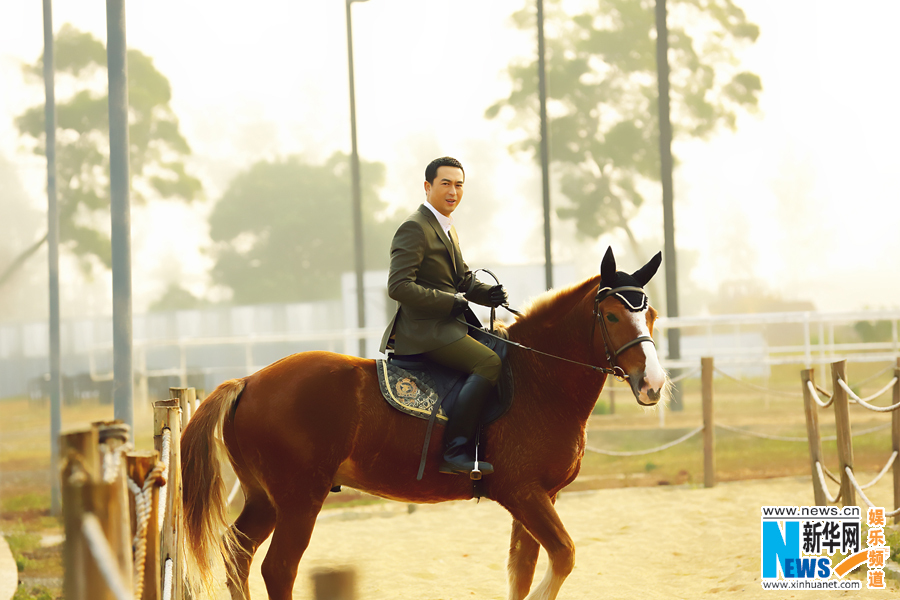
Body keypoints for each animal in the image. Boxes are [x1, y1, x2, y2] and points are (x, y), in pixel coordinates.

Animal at [181, 246, 668, 596]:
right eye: (611, 315)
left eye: (651, 315)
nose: (654, 384)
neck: (538, 379)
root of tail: (250, 380)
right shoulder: (524, 494)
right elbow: (563, 557)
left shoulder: (537, 498)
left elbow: (522, 573)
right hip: (300, 499)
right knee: (278, 568)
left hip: (265, 498)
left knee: (238, 555)